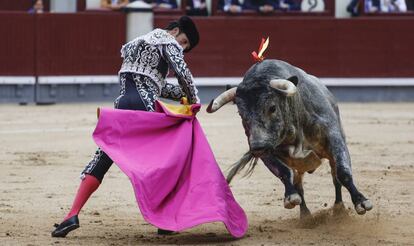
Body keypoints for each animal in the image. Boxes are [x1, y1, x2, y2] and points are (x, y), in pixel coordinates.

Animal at [207, 59, 372, 217]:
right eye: (241, 114)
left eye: (272, 108)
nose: (258, 147)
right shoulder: (266, 149)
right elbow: (284, 172)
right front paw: (291, 197)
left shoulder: (334, 137)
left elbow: (343, 173)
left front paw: (361, 202)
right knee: (298, 184)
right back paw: (305, 216)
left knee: (335, 178)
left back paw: (339, 209)